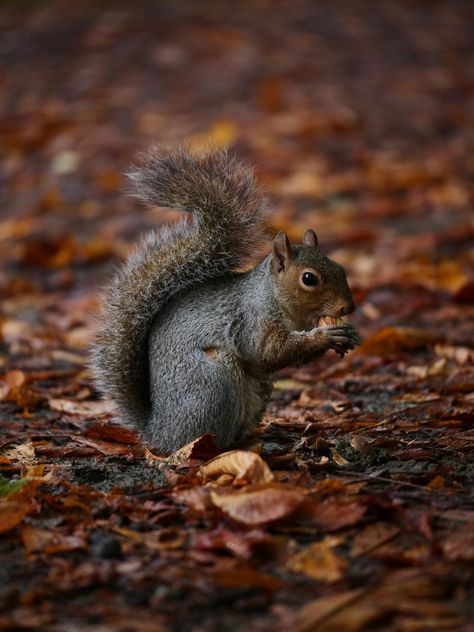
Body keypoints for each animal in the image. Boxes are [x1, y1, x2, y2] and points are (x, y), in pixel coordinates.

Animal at [91, 147, 360, 454]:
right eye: (309, 279)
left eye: (340, 268)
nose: (349, 307)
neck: (280, 302)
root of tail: (158, 433)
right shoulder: (254, 319)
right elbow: (267, 352)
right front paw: (326, 335)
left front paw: (347, 334)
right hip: (212, 383)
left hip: (257, 392)